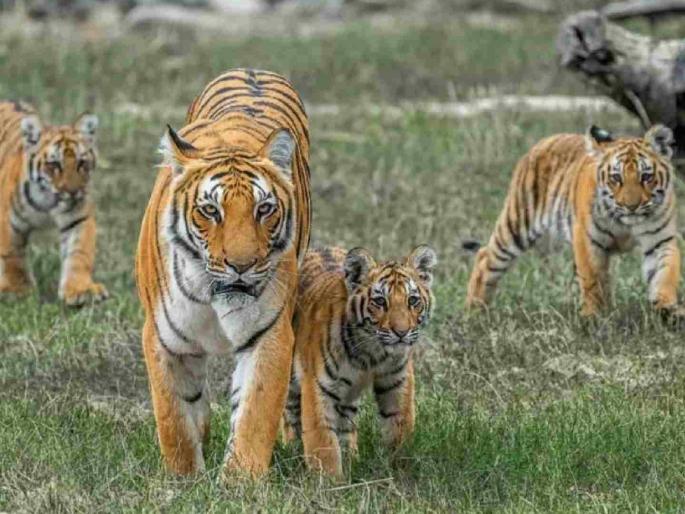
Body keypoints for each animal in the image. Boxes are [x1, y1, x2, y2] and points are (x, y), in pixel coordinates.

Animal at [0, 100, 107, 306]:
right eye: (54, 165)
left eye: (82, 163)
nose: (73, 191)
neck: (47, 201)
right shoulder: (7, 221)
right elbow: (12, 255)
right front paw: (18, 289)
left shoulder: (78, 218)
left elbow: (79, 253)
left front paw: (80, 290)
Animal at [135, 69, 311, 479]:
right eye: (210, 210)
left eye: (264, 209)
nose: (241, 265)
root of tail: (253, 69)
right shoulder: (162, 337)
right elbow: (173, 418)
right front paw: (184, 478)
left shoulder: (269, 334)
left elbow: (254, 414)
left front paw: (240, 481)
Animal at [282, 244, 437, 477]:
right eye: (380, 301)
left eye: (413, 300)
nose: (401, 333)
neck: (371, 353)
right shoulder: (318, 386)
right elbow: (323, 441)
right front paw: (329, 481)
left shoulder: (397, 381)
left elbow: (400, 425)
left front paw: (400, 469)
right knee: (290, 415)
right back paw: (291, 452)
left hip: (348, 395)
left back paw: (351, 458)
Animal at [466, 124, 681, 318]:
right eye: (616, 178)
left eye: (646, 176)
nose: (631, 206)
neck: (626, 223)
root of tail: (545, 139)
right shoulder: (587, 240)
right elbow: (591, 280)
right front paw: (593, 317)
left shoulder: (660, 241)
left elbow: (665, 273)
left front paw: (667, 308)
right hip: (517, 225)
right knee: (485, 256)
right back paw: (474, 311)